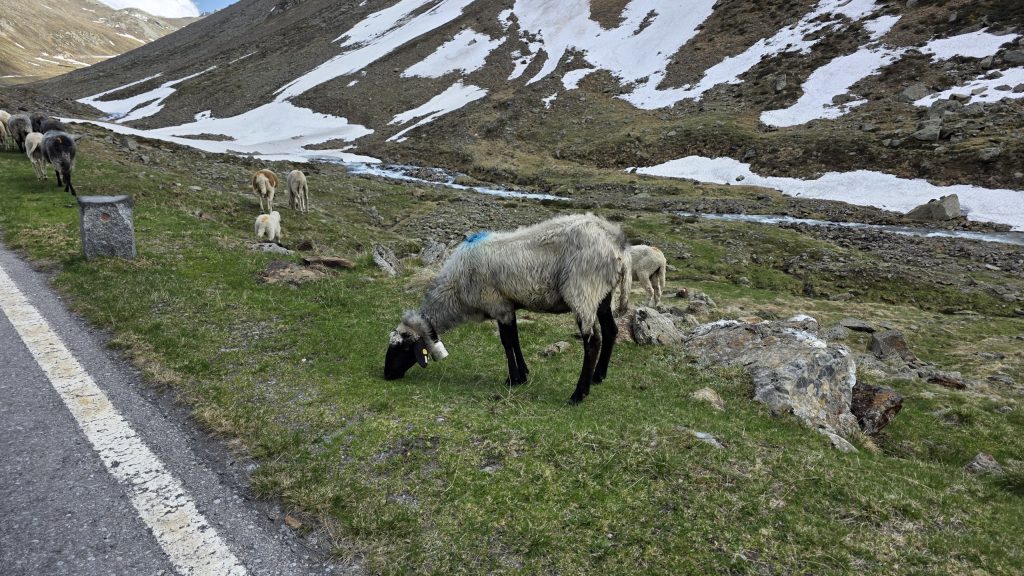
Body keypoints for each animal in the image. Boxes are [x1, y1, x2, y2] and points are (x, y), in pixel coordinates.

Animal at [384, 213, 632, 405]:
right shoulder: (508, 306)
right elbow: (515, 339)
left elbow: (506, 342)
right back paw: (598, 376)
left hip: (583, 292)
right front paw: (523, 373)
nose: (387, 375)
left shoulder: (498, 305)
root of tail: (617, 241)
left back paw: (578, 394)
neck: (455, 291)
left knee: (592, 342)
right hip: (603, 295)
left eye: (404, 347)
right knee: (610, 331)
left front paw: (513, 379)